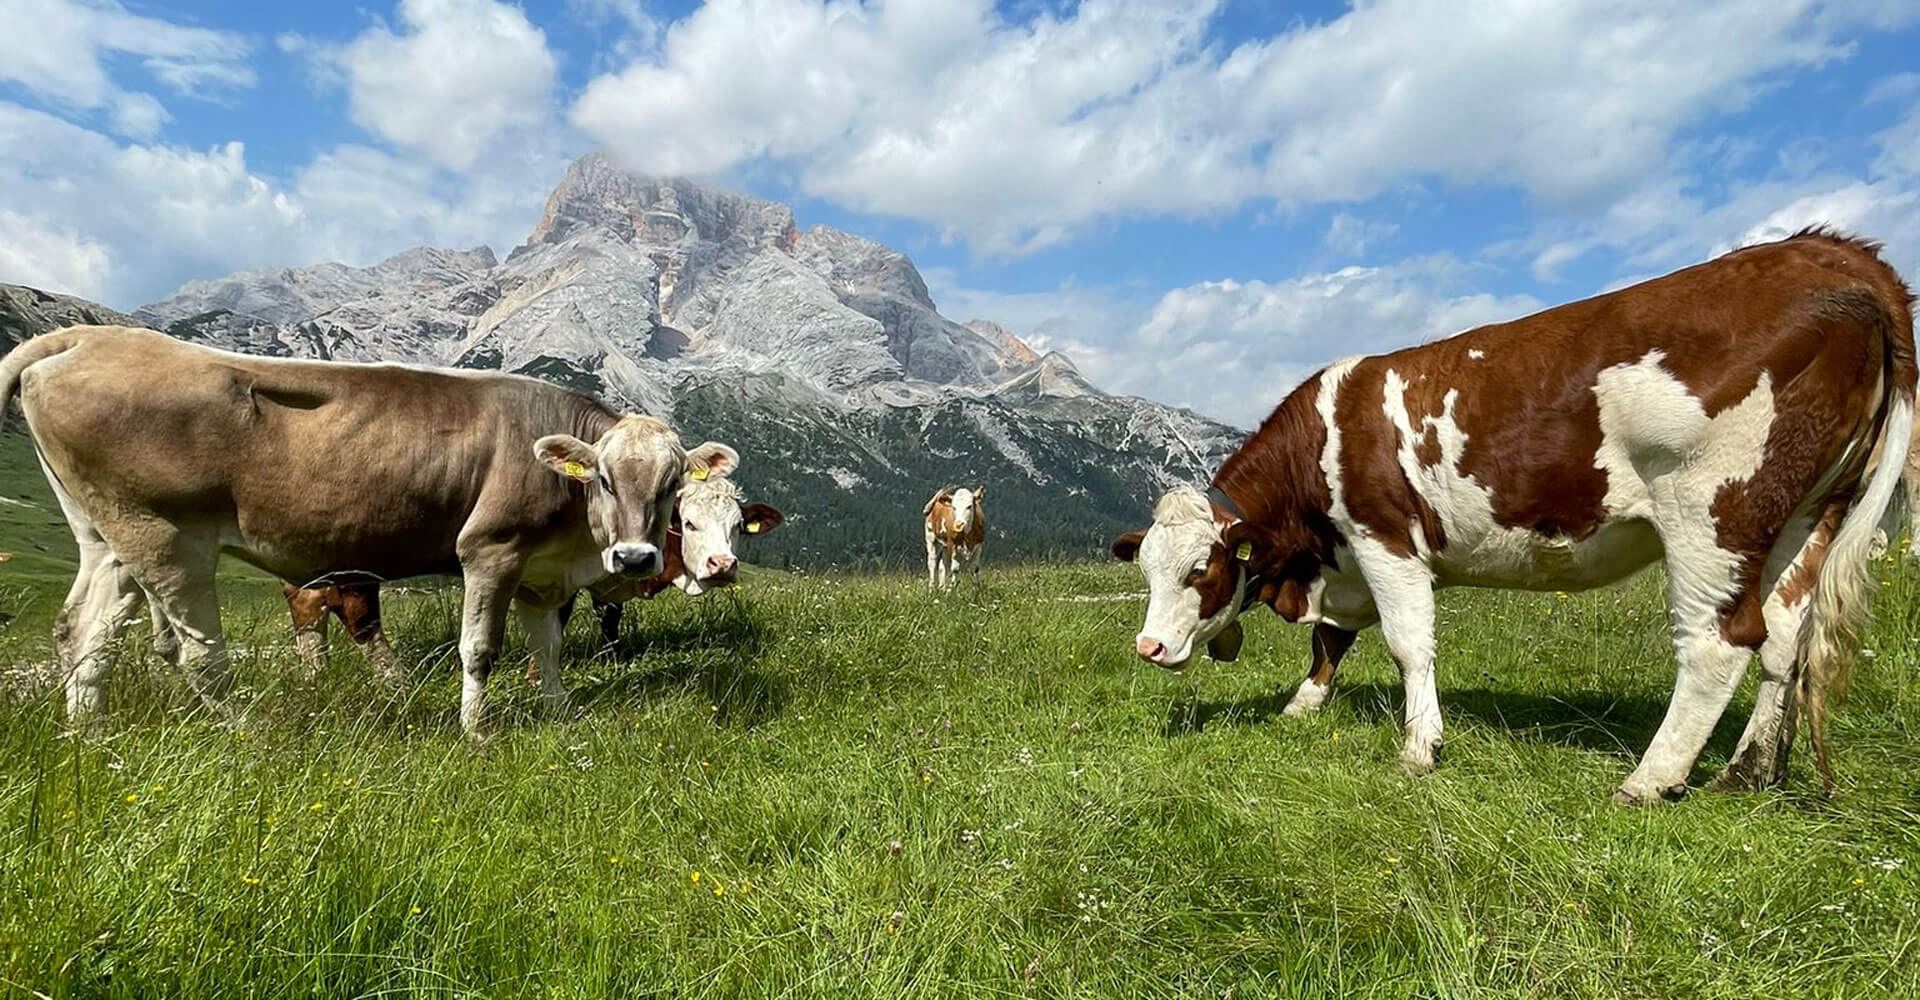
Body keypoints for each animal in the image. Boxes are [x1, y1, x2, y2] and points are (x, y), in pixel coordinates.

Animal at [1, 324, 721, 737]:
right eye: (604, 478)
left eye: (672, 485)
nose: (635, 557)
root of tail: (93, 335)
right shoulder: (490, 550)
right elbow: (480, 649)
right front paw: (477, 733)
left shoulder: (542, 572)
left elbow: (546, 648)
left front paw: (561, 712)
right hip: (166, 537)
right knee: (197, 653)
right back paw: (253, 737)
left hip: (108, 539)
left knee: (84, 633)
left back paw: (89, 740)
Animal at [1105, 230, 1912, 798]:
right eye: (1145, 569)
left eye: (1200, 569)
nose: (1148, 648)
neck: (1310, 561)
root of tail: (1836, 253)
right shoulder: (1348, 561)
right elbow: (1331, 639)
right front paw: (1303, 705)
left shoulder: (1383, 537)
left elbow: (1407, 645)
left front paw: (1420, 748)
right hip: (1810, 511)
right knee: (1785, 639)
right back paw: (1749, 771)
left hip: (1714, 511)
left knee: (1721, 644)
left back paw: (1650, 779)